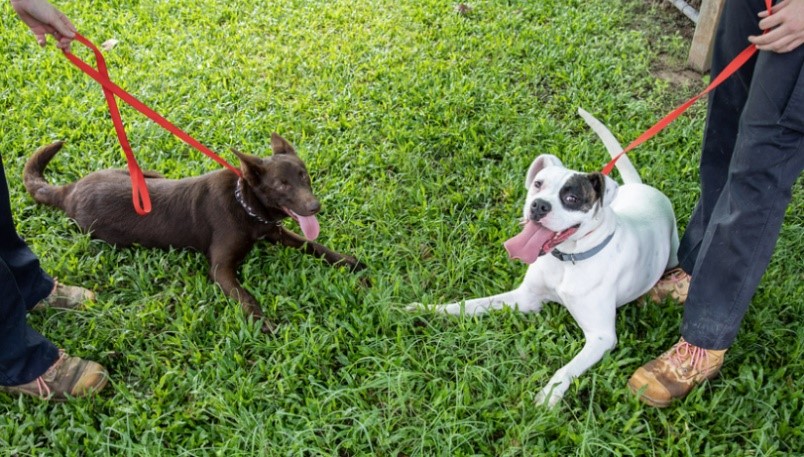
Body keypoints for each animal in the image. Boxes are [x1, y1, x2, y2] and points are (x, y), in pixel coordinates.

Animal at [24, 134, 364, 330]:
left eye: (303, 176)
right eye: (282, 185)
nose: (315, 206)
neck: (244, 204)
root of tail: (68, 191)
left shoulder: (275, 232)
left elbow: (312, 246)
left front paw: (347, 261)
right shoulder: (221, 269)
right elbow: (246, 298)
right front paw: (262, 323)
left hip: (144, 173)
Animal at [412, 108, 680, 406]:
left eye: (572, 198)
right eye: (538, 184)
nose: (538, 205)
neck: (568, 260)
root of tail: (641, 187)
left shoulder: (601, 337)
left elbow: (566, 369)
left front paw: (547, 398)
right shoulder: (525, 299)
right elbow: (470, 305)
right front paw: (429, 309)